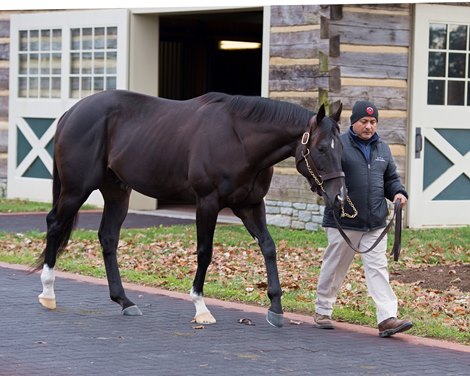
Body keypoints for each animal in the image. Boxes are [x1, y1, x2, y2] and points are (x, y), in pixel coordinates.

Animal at [35, 89, 346, 328]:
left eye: (341, 149)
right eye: (321, 149)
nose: (339, 196)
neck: (239, 139)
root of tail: (72, 112)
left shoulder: (249, 205)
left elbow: (268, 247)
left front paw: (276, 308)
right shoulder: (207, 202)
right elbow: (205, 252)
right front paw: (201, 307)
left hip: (117, 192)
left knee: (108, 237)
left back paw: (124, 301)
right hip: (76, 190)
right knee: (55, 224)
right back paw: (48, 293)